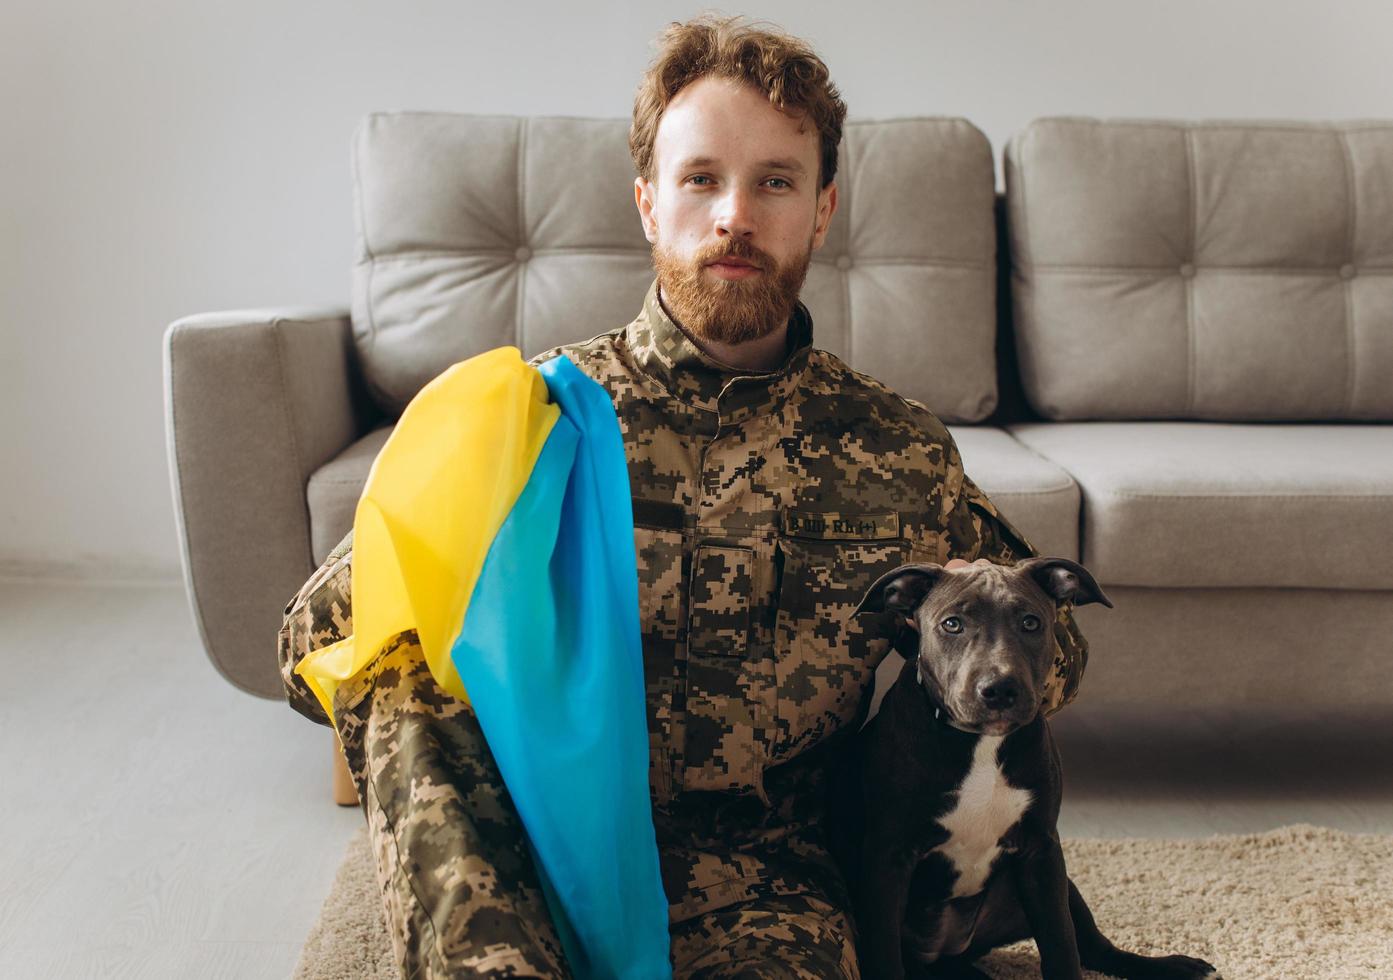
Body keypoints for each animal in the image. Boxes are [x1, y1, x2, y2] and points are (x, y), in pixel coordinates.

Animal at [830, 559, 1225, 980]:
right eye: (952, 624)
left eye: (1031, 622)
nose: (1000, 689)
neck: (982, 745)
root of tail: (946, 952)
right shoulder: (888, 858)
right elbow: (885, 952)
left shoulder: (1042, 850)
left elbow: (1060, 941)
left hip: (1062, 884)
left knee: (1094, 948)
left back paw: (1170, 965)